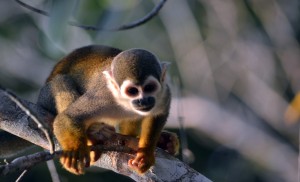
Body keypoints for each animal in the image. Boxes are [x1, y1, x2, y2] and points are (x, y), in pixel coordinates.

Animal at [36, 45, 176, 175]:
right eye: (132, 91)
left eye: (149, 87)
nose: (143, 101)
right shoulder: (102, 96)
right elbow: (69, 117)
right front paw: (75, 152)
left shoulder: (164, 92)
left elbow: (158, 114)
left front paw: (145, 155)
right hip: (46, 96)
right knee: (61, 81)